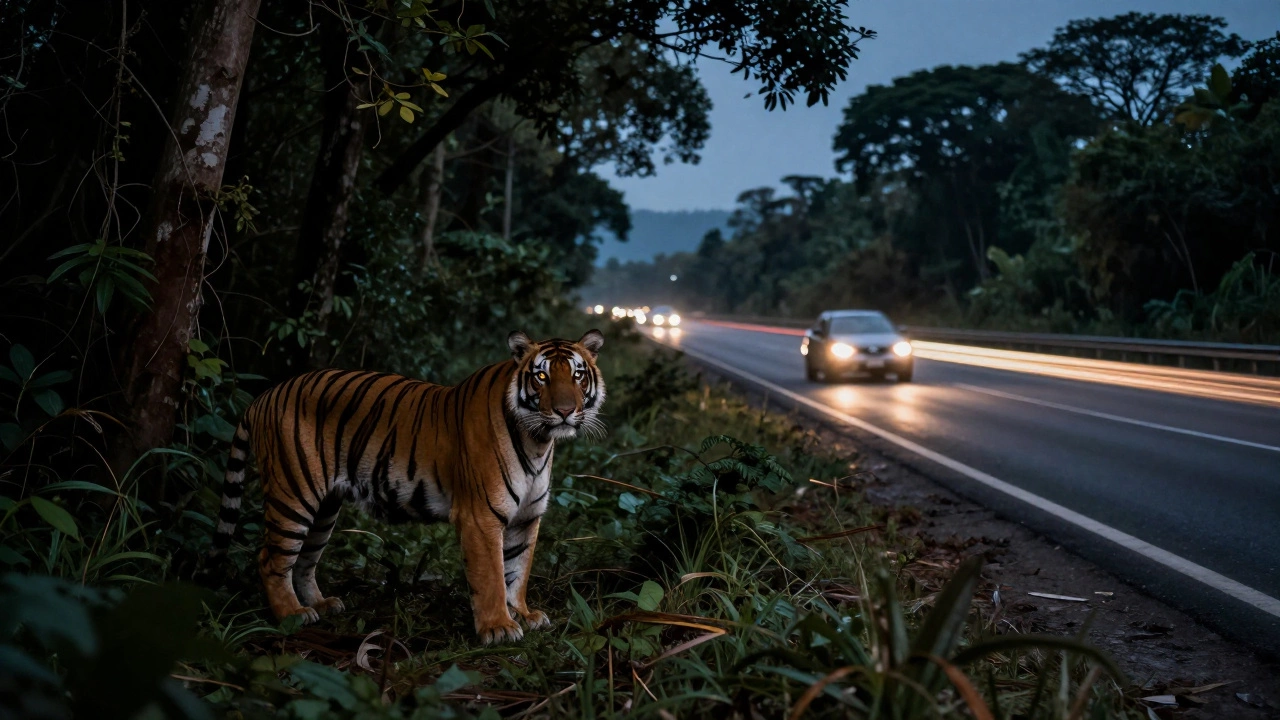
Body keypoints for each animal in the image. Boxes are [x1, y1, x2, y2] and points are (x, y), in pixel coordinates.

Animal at [210, 329, 606, 645]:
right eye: (541, 376)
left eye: (577, 374)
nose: (565, 411)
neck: (538, 442)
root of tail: (264, 395)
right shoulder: (480, 517)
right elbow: (492, 575)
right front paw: (498, 627)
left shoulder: (526, 517)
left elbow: (517, 571)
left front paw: (521, 614)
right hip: (293, 493)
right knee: (270, 560)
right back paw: (292, 616)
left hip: (324, 508)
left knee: (305, 560)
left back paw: (321, 604)